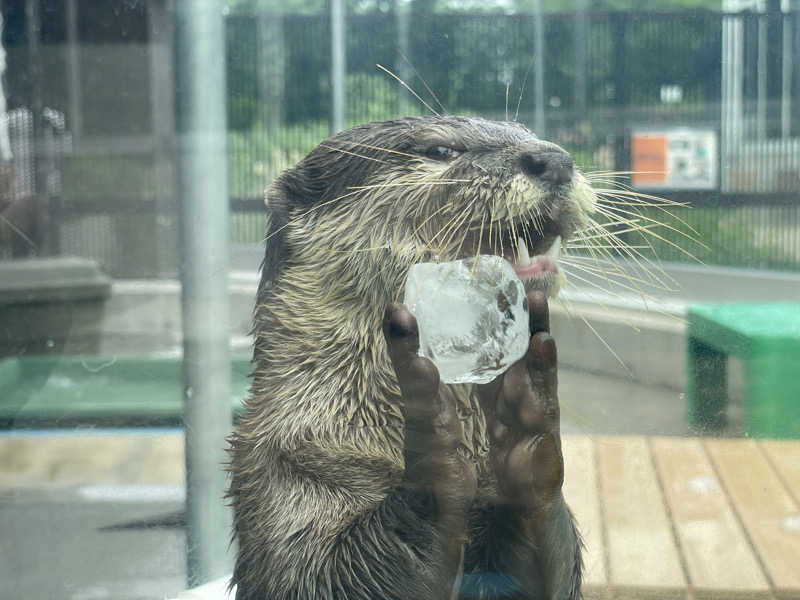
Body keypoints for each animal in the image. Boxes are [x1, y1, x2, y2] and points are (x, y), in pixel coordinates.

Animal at [228, 117, 592, 600]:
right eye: (440, 150)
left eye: (527, 133)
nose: (552, 158)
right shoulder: (282, 473)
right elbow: (321, 577)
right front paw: (431, 439)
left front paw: (526, 426)